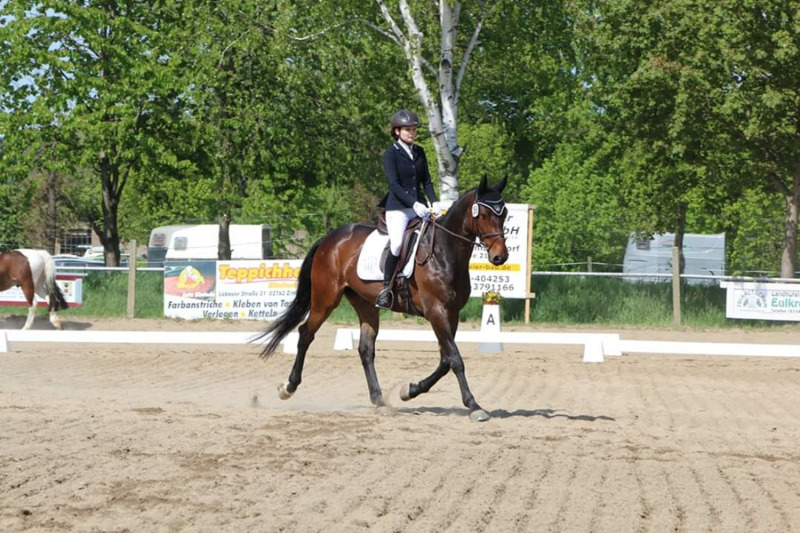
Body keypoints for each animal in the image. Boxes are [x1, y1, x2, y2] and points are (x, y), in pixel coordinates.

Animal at [255, 175, 506, 420]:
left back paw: (379, 401)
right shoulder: (436, 312)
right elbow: (455, 359)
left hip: (365, 303)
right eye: (484, 215)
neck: (443, 252)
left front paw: (410, 390)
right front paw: (474, 406)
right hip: (326, 299)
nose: (500, 257)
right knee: (306, 334)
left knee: (366, 350)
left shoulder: (451, 313)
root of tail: (328, 239)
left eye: (504, 214)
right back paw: (288, 387)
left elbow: (445, 361)